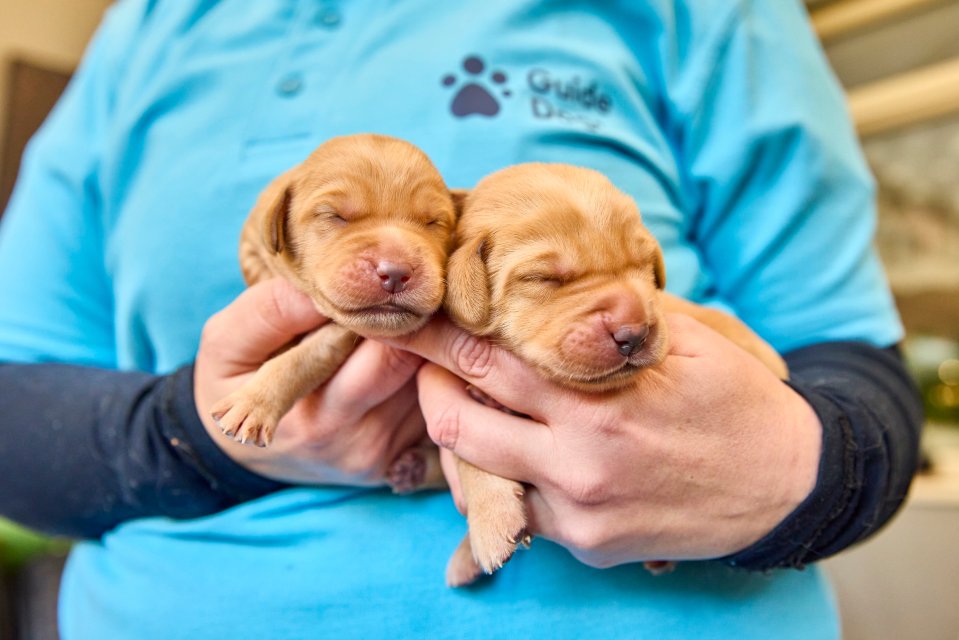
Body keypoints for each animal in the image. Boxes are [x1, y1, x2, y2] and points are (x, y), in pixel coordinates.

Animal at [213, 132, 458, 492]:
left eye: (434, 223)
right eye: (334, 215)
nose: (396, 272)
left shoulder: (340, 333)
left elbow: (300, 359)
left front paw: (253, 402)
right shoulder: (254, 239)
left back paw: (414, 469)